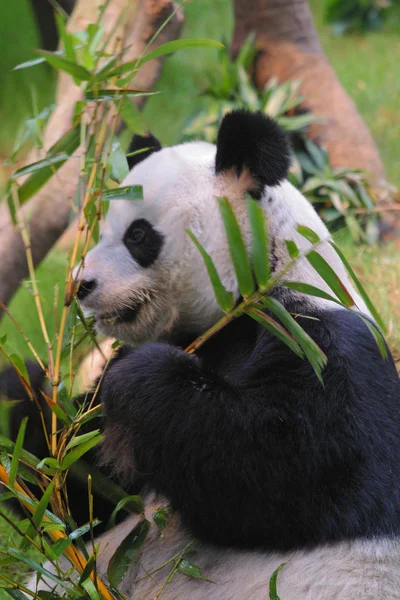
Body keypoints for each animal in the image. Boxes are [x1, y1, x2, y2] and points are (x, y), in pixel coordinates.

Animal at [22, 110, 400, 596]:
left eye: (138, 235)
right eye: (102, 229)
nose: (81, 285)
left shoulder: (322, 342)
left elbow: (285, 464)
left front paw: (142, 377)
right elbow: (80, 482)